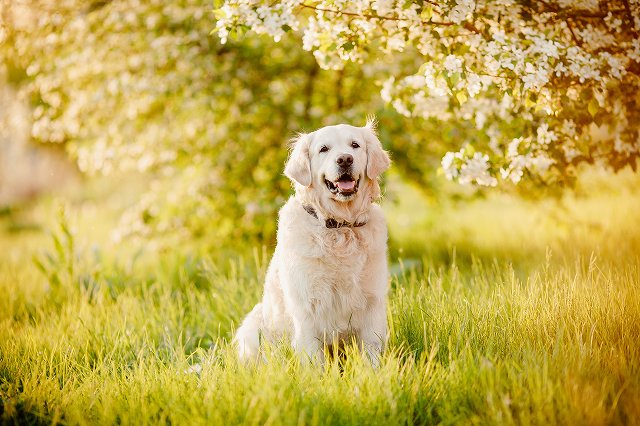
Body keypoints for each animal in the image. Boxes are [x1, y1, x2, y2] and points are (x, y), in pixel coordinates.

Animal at [235, 119, 390, 366]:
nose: (345, 159)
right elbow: (313, 361)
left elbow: (371, 354)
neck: (340, 227)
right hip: (252, 325)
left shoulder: (372, 303)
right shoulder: (306, 308)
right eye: (323, 149)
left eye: (355, 145)